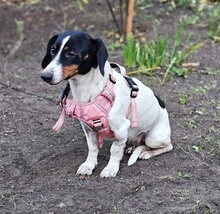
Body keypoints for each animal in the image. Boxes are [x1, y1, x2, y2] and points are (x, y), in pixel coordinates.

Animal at [40, 30, 173, 177]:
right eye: (53, 50)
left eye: (71, 53)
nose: (45, 76)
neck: (88, 90)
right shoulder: (88, 129)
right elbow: (92, 149)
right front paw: (89, 165)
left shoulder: (120, 129)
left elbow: (115, 151)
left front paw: (111, 168)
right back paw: (133, 148)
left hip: (154, 138)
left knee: (166, 146)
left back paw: (147, 153)